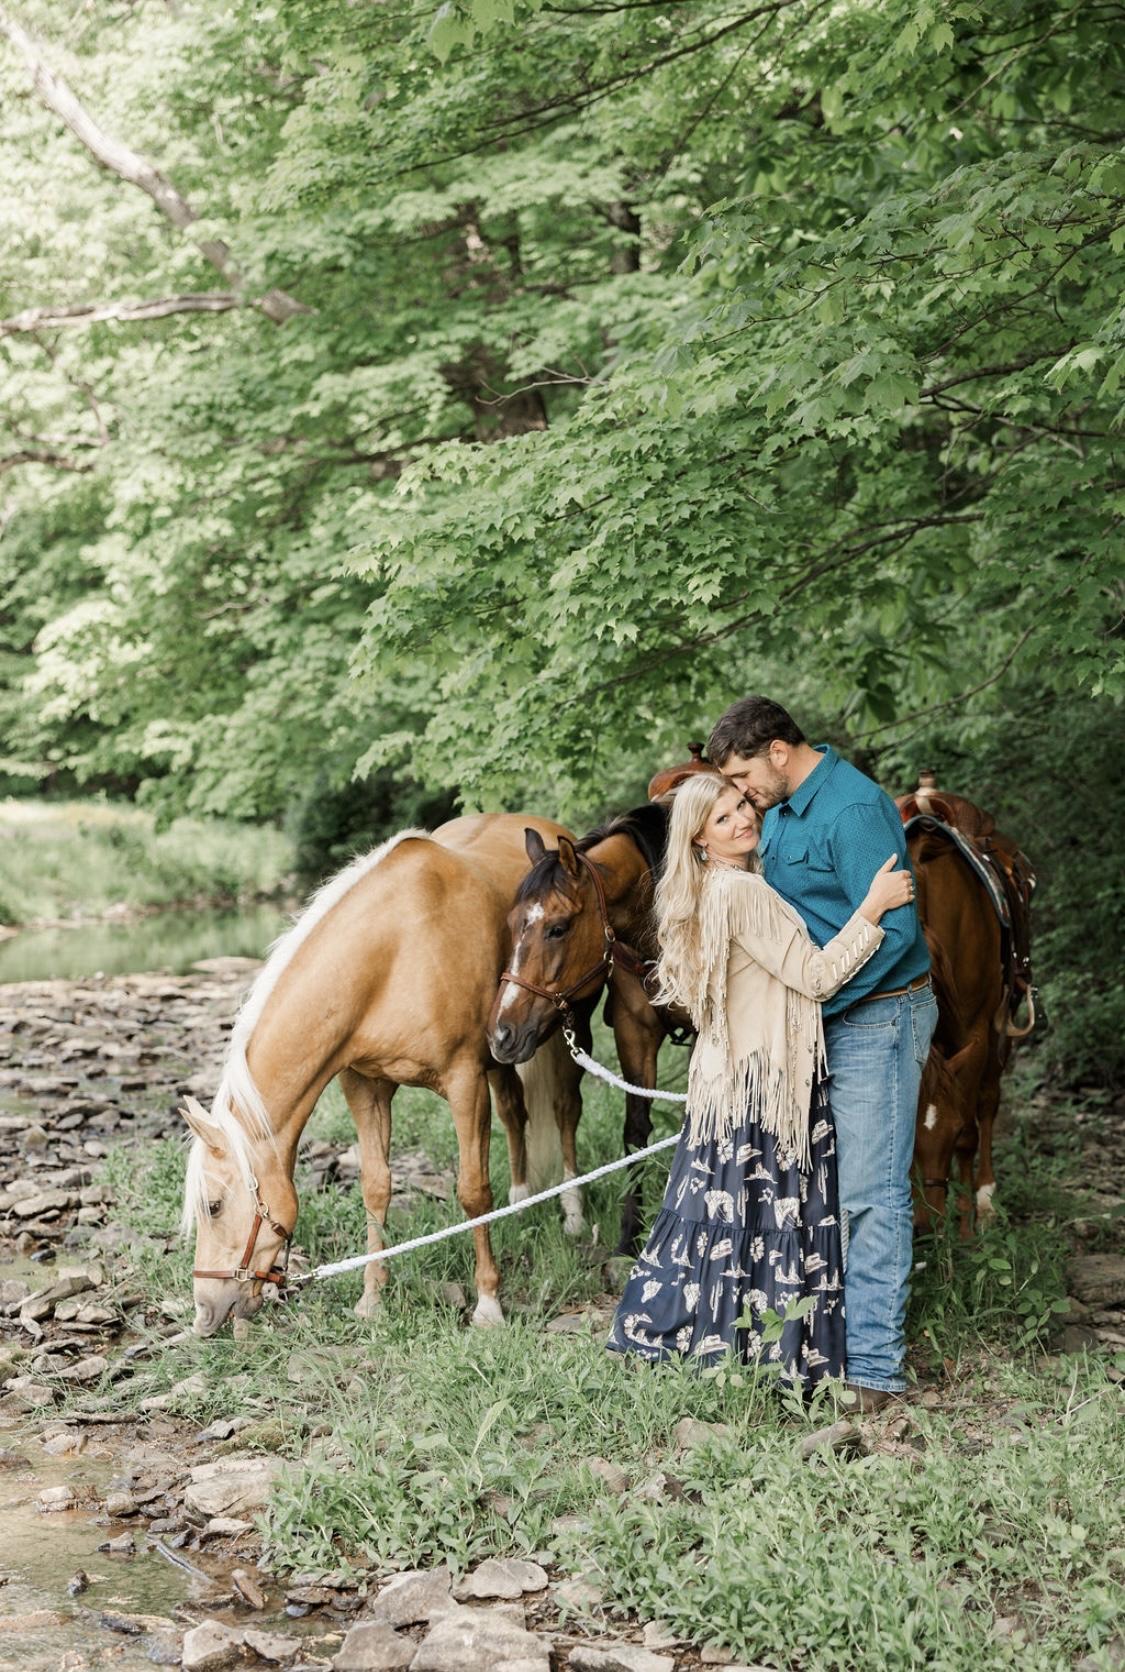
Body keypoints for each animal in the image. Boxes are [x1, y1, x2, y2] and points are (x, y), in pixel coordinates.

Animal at [178, 809, 585, 1330]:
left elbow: (472, 1191)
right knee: (515, 1111)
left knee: (564, 1109)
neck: (394, 954)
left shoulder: (464, 1082)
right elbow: (375, 1188)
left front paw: (489, 1303)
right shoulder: (365, 1085)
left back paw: (573, 1213)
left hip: (561, 1032)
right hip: (503, 1054)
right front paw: (371, 1298)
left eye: (213, 1206)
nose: (204, 1314)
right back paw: (519, 1200)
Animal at [481, 802, 675, 1250]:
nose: (502, 1033)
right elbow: (635, 1131)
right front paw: (629, 1235)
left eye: (558, 928)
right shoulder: (634, 1033)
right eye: (510, 924)